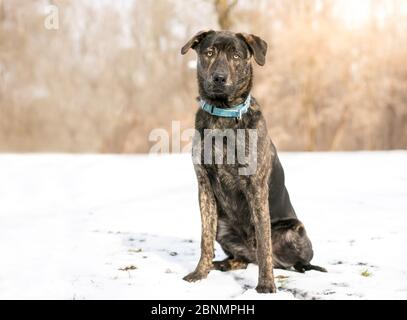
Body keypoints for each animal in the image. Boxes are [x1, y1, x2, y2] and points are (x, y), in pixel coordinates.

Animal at [182, 30, 326, 292]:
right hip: (222, 227)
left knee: (291, 260)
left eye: (236, 56)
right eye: (209, 53)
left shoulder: (256, 187)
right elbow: (204, 240)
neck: (223, 114)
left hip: (294, 230)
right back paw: (221, 264)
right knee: (241, 259)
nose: (219, 78)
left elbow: (264, 243)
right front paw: (199, 273)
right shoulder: (204, 186)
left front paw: (266, 286)